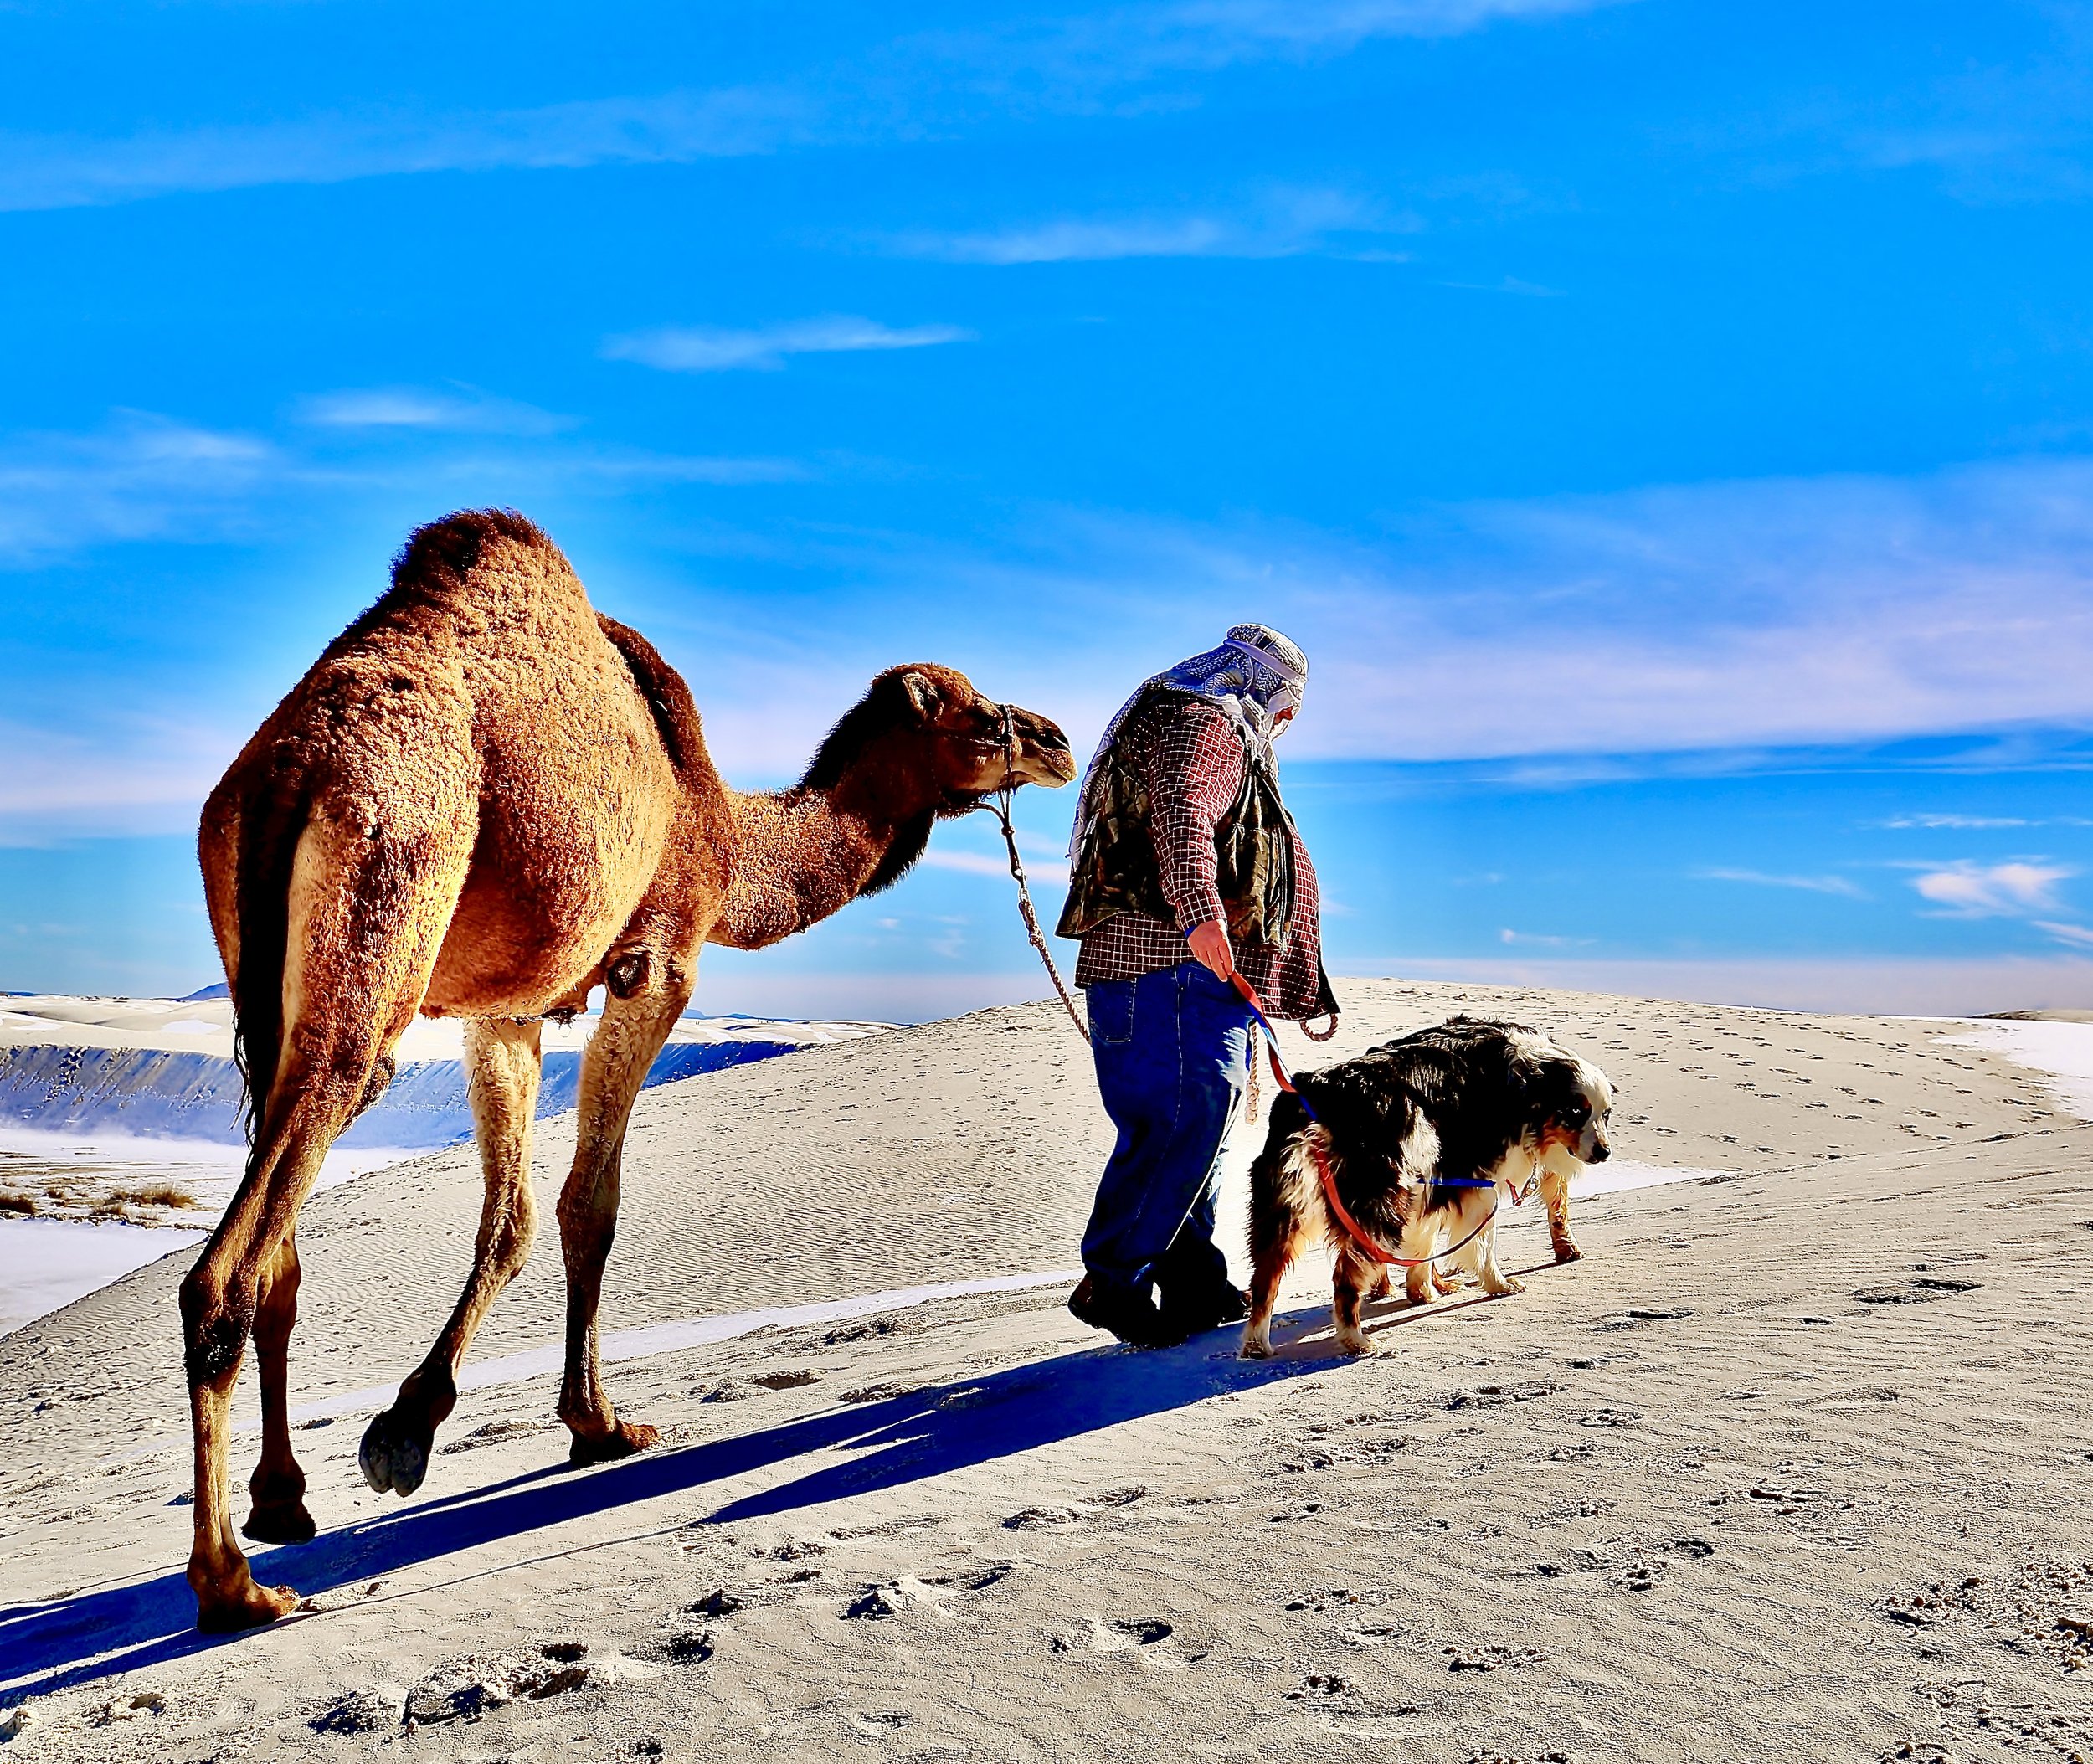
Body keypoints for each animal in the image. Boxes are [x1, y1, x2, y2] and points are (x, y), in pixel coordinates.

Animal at [180, 506, 1072, 1632]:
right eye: (982, 715)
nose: (1056, 740)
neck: (726, 829)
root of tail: (291, 767)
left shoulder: (507, 1009)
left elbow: (512, 1217)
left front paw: (435, 1423)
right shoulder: (659, 961)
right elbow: (588, 1205)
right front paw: (580, 1425)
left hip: (264, 974)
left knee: (281, 1250)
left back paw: (283, 1502)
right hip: (390, 883)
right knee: (234, 1258)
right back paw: (234, 1585)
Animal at [1239, 1012, 1616, 1355]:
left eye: (1605, 1114)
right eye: (1575, 1111)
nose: (1605, 1152)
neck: (1525, 1083)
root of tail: (1314, 1092)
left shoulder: (1436, 1178)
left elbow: (1426, 1241)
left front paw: (1424, 1291)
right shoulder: (1478, 1182)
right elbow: (1483, 1243)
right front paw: (1497, 1284)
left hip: (1285, 1209)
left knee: (1265, 1279)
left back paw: (1257, 1344)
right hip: (1379, 1204)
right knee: (1344, 1279)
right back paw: (1356, 1340)